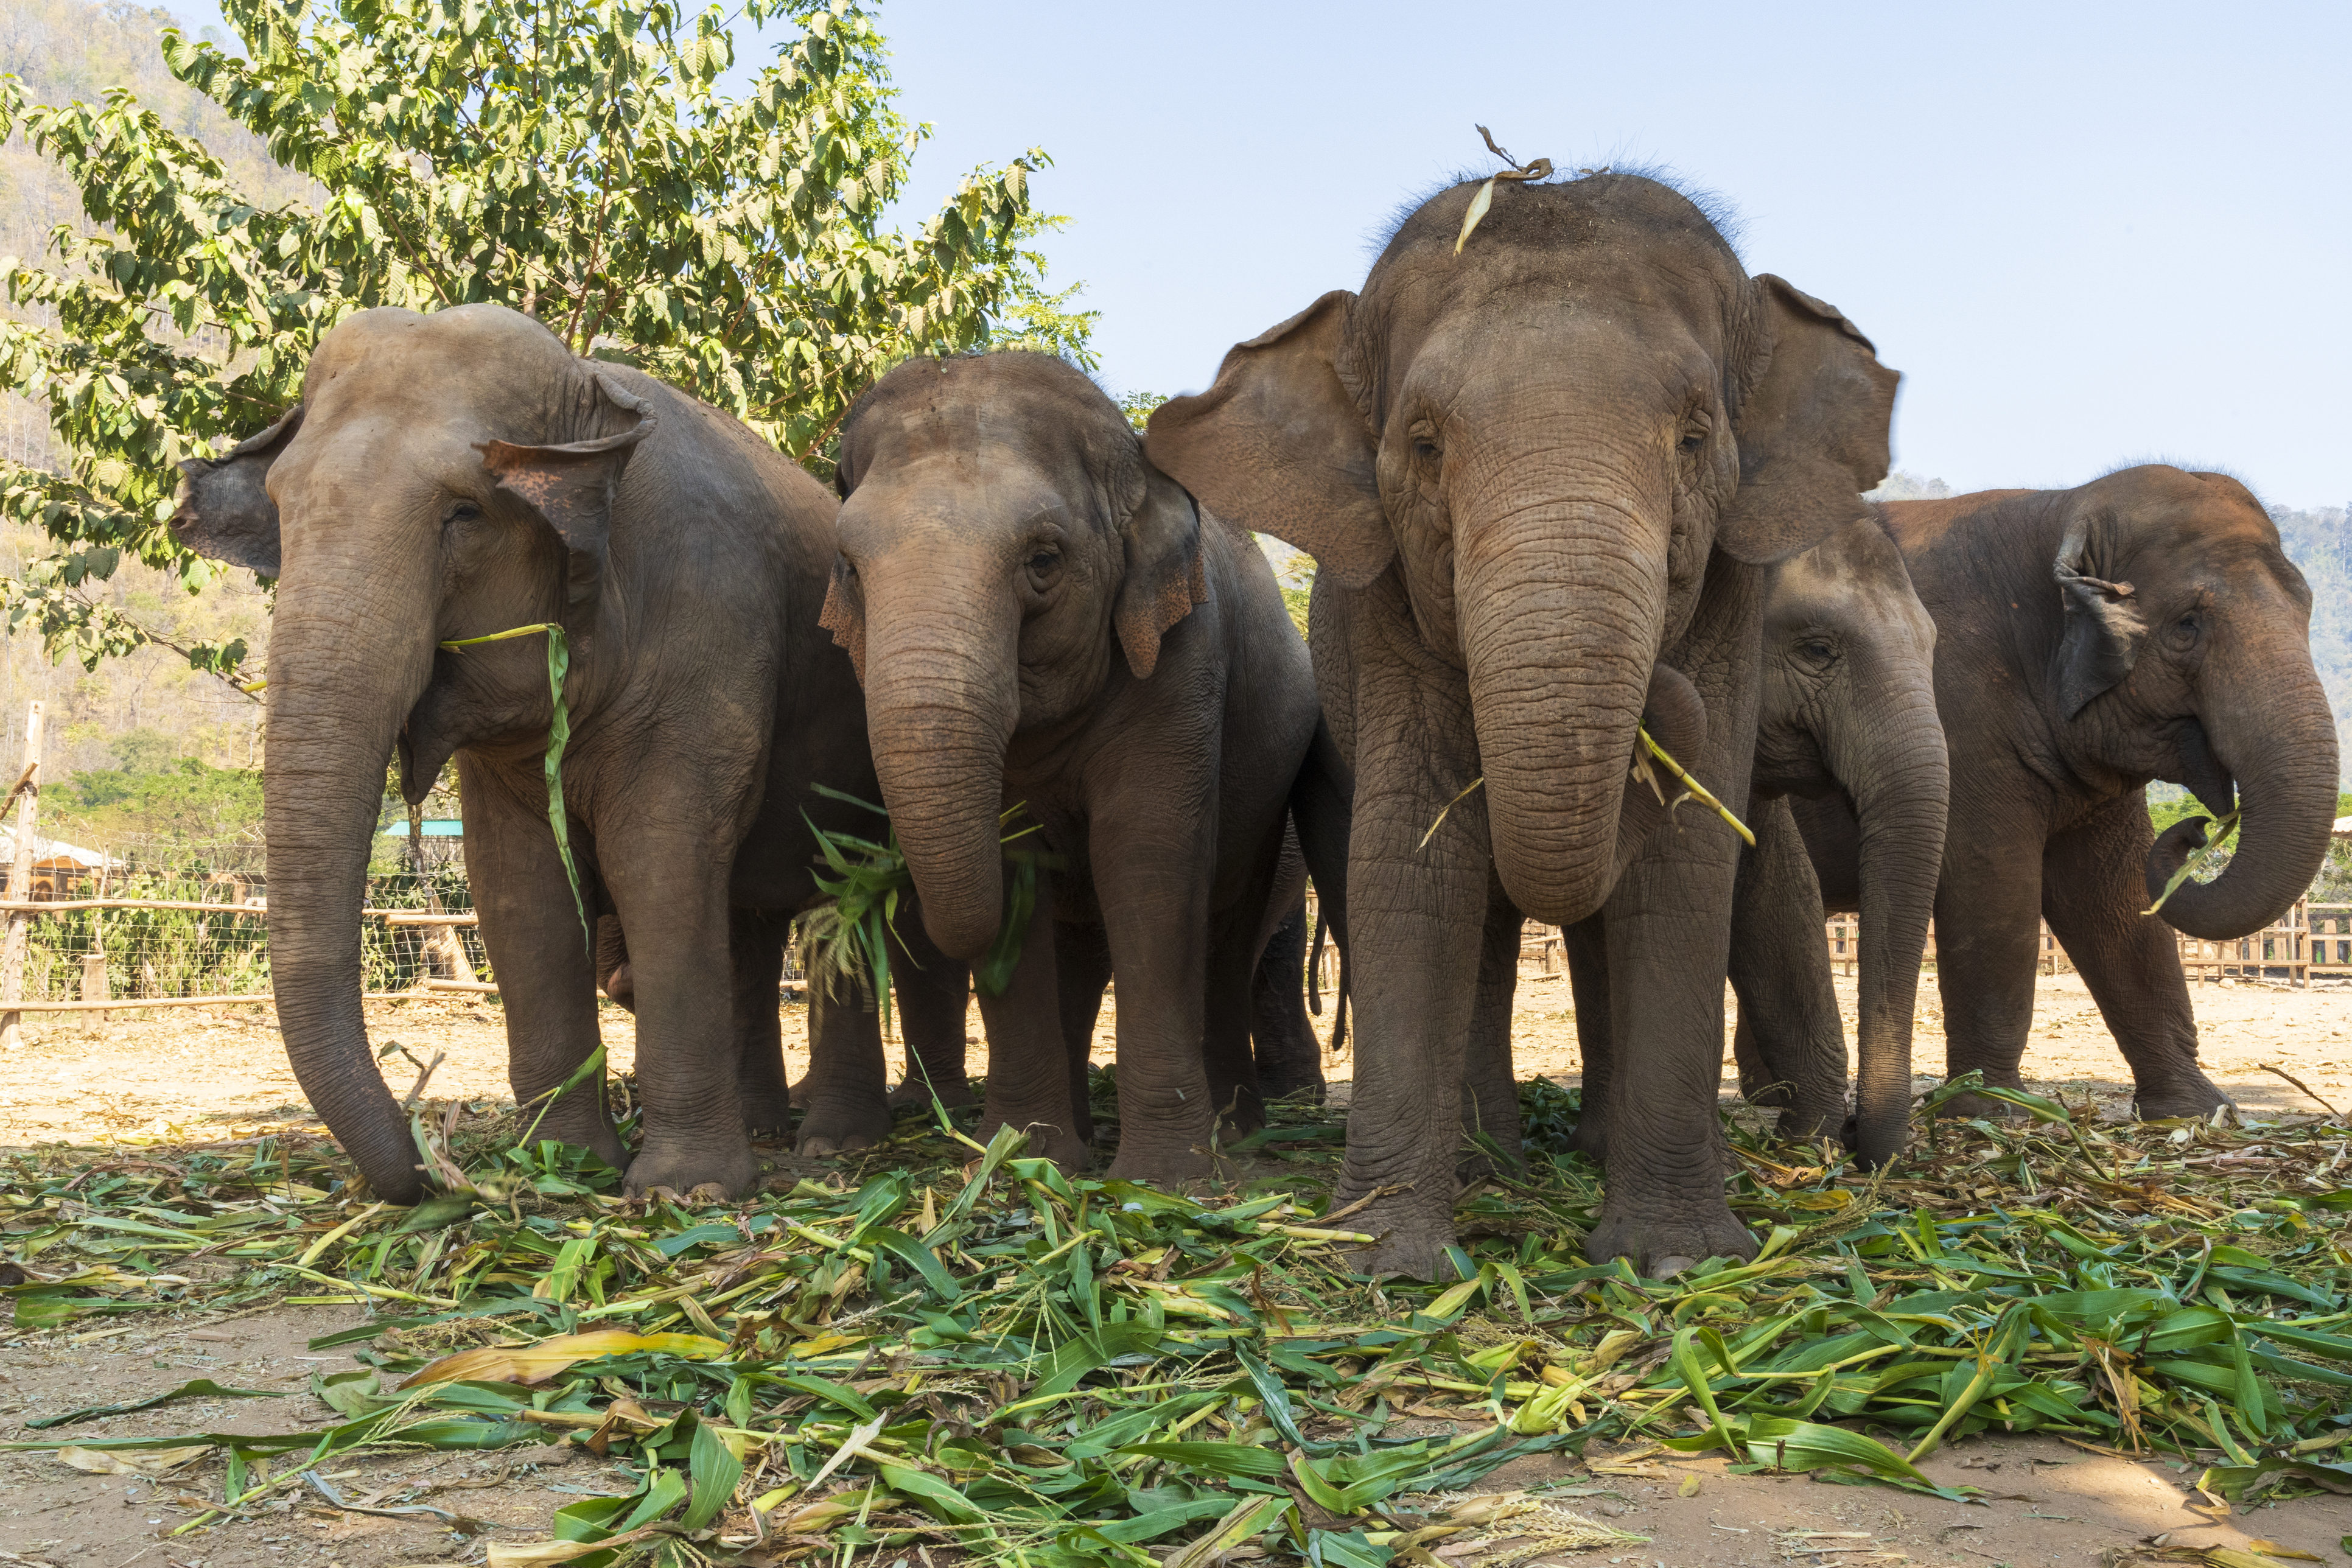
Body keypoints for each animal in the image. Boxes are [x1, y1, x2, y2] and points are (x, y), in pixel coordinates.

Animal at [171, 302, 962, 1203]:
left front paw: (683, 1191)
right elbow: (520, 887)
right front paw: (567, 1165)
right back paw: (768, 1128)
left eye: (464, 514)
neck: (591, 397)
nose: (425, 1166)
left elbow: (658, 856)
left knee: (839, 895)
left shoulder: (709, 634)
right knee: (753, 925)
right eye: (281, 505)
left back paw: (833, 1145)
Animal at [819, 350, 1349, 1181]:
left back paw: (1235, 1130)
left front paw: (1166, 1177)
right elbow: (1016, 871)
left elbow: (1148, 858)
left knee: (1229, 933)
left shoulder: (1182, 660)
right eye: (848, 565)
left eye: (1044, 560)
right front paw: (1026, 1158)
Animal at [1148, 171, 1898, 1276]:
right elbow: (1412, 854)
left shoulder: (1732, 592)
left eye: (1692, 438)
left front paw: (1676, 1258)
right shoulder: (1385, 610)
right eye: (1423, 445)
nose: (1657, 697)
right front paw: (1384, 1258)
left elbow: (1686, 862)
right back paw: (1485, 1164)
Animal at [1751, 468, 2337, 1120]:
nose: (2197, 828)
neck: (2061, 508)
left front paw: (2195, 1110)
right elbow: (1994, 888)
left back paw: (1763, 1094)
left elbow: (2112, 898)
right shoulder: (1962, 716)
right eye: (2188, 624)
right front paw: (1989, 1110)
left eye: (2308, 609)